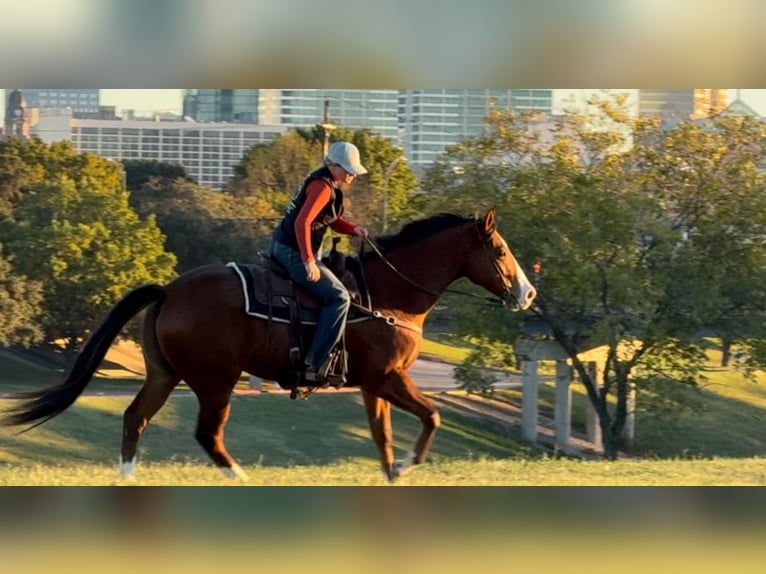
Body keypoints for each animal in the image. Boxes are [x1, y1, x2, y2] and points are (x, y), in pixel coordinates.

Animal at [1, 209, 540, 484]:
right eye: (499, 250)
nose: (528, 293)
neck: (385, 295)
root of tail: (169, 289)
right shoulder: (388, 378)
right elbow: (432, 417)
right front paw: (409, 464)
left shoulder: (374, 385)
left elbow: (384, 436)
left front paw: (394, 472)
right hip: (216, 381)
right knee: (208, 434)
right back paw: (239, 478)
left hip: (164, 374)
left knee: (136, 418)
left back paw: (129, 480)